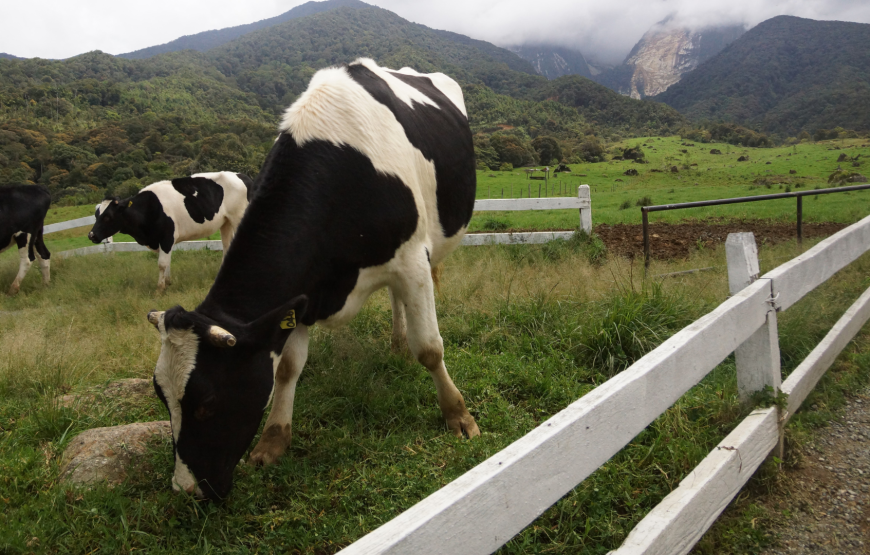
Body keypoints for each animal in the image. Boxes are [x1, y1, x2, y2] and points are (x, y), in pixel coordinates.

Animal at [88, 172, 252, 294]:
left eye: (108, 217)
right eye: (96, 215)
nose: (91, 235)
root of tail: (240, 175)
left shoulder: (166, 237)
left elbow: (162, 263)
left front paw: (160, 289)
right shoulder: (164, 240)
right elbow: (167, 263)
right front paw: (167, 283)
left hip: (238, 216)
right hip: (225, 222)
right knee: (227, 246)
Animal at [146, 58, 480, 502]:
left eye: (207, 402)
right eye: (162, 398)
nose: (186, 489)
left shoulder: (412, 259)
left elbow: (429, 348)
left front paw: (458, 415)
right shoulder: (300, 293)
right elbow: (287, 367)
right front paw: (273, 440)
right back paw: (395, 343)